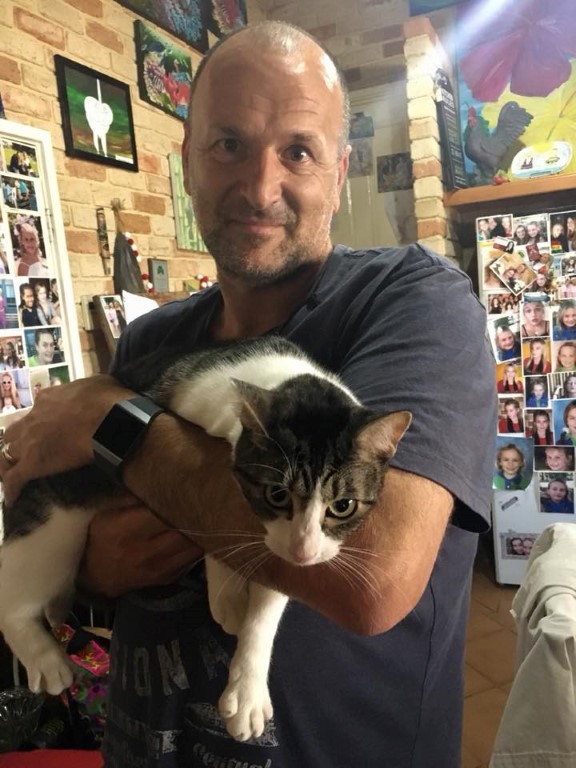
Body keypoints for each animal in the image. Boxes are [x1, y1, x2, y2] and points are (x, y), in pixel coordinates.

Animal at [0, 336, 411, 742]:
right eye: (277, 495)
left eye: (343, 505)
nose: (304, 552)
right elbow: (213, 526)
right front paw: (228, 596)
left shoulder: (283, 546)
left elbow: (270, 598)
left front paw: (247, 689)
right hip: (56, 518)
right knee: (17, 594)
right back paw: (45, 659)